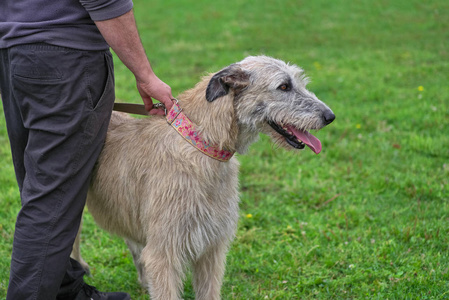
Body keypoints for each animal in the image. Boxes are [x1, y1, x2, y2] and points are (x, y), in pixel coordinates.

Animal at [72, 55, 334, 298]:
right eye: (284, 86)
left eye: (297, 82)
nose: (330, 116)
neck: (202, 143)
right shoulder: (164, 252)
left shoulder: (211, 247)